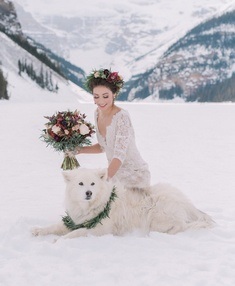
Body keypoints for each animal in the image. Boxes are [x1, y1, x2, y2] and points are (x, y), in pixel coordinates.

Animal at [32, 168, 214, 239]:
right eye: (81, 184)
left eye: (92, 184)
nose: (88, 193)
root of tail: (187, 203)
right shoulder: (76, 220)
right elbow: (56, 226)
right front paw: (38, 230)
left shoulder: (99, 229)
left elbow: (75, 233)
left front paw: (57, 241)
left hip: (157, 214)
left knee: (181, 226)